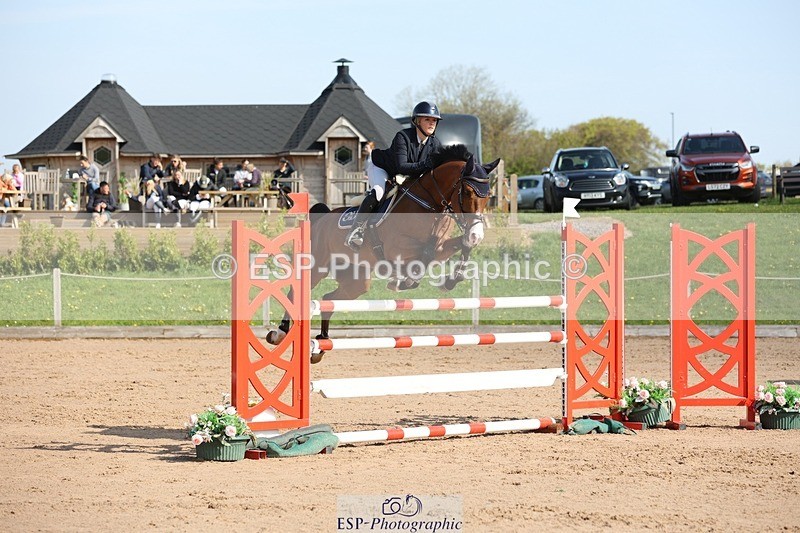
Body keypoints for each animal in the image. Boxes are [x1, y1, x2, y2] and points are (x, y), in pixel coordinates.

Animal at [267, 144, 500, 362]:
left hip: (356, 281)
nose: (477, 235)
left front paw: (451, 279)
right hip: (317, 266)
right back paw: (280, 332)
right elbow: (425, 251)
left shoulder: (442, 248)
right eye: (468, 192)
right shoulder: (397, 247)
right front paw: (405, 282)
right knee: (296, 292)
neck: (430, 204)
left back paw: (321, 344)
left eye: (488, 195)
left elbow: (454, 247)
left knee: (328, 300)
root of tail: (321, 218)